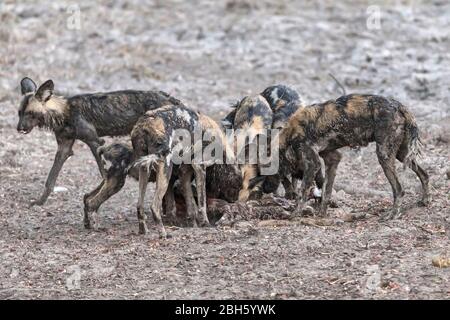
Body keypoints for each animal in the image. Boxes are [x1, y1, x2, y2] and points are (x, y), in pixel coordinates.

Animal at [17, 78, 183, 208]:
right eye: (19, 113)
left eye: (30, 113)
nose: (19, 128)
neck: (64, 113)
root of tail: (171, 98)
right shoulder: (64, 148)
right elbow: (50, 180)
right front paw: (40, 202)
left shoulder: (95, 142)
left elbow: (103, 173)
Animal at [130, 105, 236, 238]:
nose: (234, 200)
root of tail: (147, 122)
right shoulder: (199, 166)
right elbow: (202, 203)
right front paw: (205, 223)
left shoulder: (185, 173)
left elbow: (191, 205)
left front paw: (194, 225)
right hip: (166, 168)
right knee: (154, 206)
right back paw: (163, 233)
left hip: (144, 168)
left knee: (139, 205)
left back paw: (143, 230)